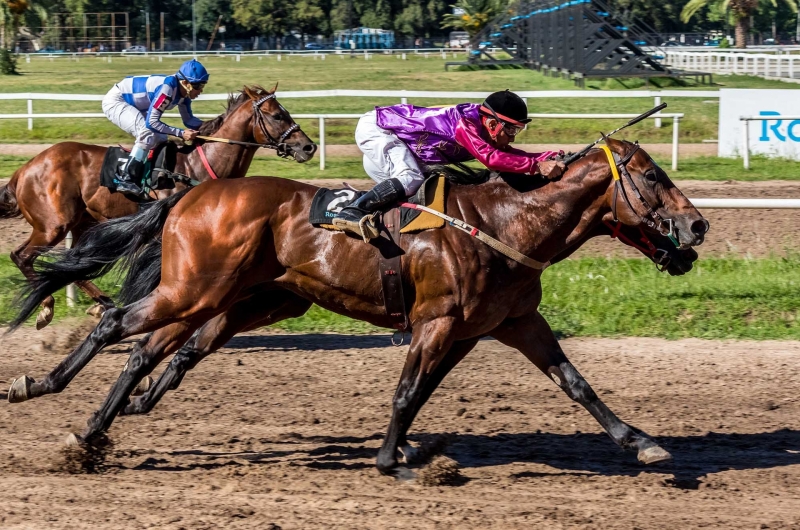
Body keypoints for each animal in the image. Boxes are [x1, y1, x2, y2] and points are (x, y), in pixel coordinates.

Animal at [0, 84, 318, 328]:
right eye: (277, 115)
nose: (308, 147)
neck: (196, 164)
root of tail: (25, 169)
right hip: (53, 225)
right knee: (22, 256)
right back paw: (47, 307)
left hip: (83, 223)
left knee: (73, 264)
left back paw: (101, 305)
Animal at [7, 138, 708, 472]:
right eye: (652, 177)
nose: (697, 226)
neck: (507, 225)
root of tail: (188, 194)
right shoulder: (439, 322)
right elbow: (407, 392)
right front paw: (394, 459)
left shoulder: (502, 324)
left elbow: (576, 384)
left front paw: (642, 442)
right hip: (196, 288)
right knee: (117, 325)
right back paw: (52, 398)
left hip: (234, 295)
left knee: (153, 347)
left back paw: (105, 417)